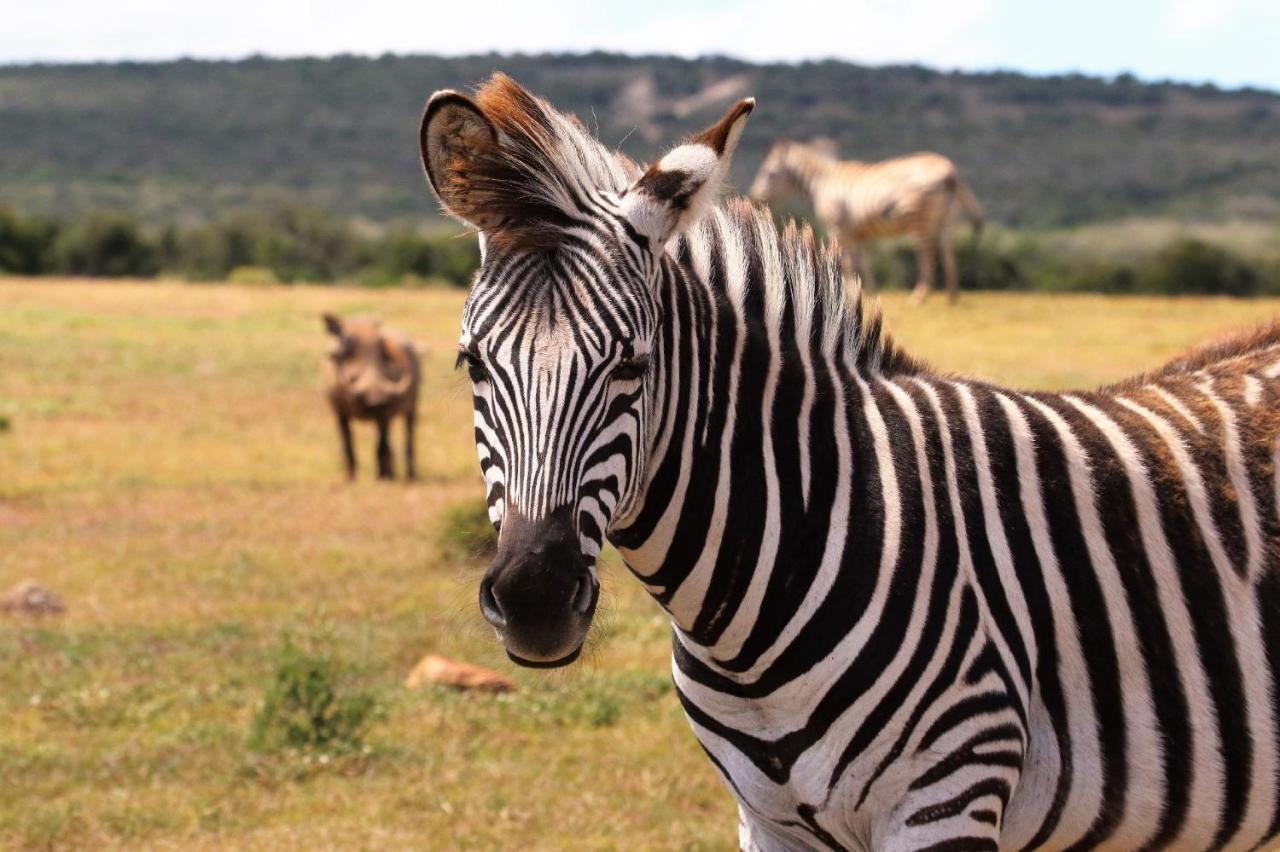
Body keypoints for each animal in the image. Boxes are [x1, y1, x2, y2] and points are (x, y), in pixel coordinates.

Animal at [747, 142, 983, 305]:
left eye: (768, 173)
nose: (753, 199)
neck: (821, 183)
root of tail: (949, 172)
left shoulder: (838, 228)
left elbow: (846, 261)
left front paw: (847, 292)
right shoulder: (858, 232)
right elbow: (864, 262)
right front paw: (868, 292)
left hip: (919, 219)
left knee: (927, 254)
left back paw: (919, 296)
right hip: (948, 219)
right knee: (948, 250)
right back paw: (952, 295)